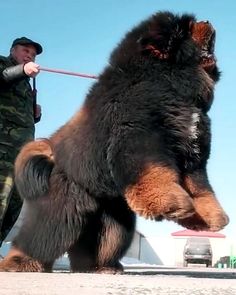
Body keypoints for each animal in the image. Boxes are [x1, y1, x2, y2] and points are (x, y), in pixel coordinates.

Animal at [0, 13, 229, 272]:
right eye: (186, 28)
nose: (207, 21)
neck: (162, 81)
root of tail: (51, 153)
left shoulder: (192, 155)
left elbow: (200, 188)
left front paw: (211, 217)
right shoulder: (140, 142)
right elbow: (156, 174)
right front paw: (172, 204)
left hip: (113, 218)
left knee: (97, 242)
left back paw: (99, 267)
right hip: (63, 208)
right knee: (40, 235)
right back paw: (19, 262)